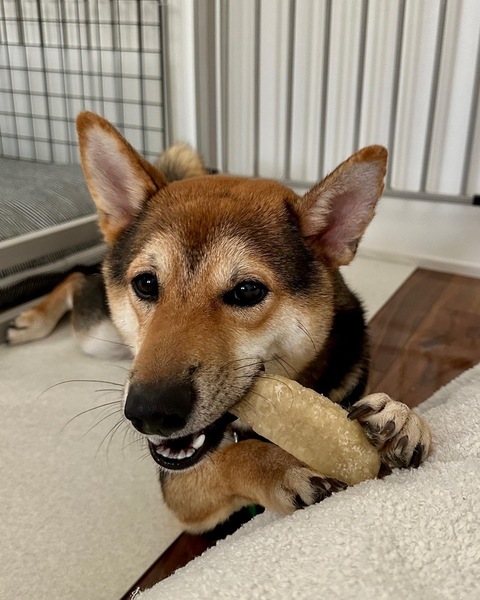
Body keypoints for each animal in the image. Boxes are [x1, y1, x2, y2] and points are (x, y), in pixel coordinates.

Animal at [8, 112, 432, 533]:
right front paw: (280, 468)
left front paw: (400, 416)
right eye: (146, 283)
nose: (150, 412)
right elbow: (232, 458)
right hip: (98, 334)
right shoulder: (179, 485)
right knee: (78, 277)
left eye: (246, 291)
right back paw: (29, 321)